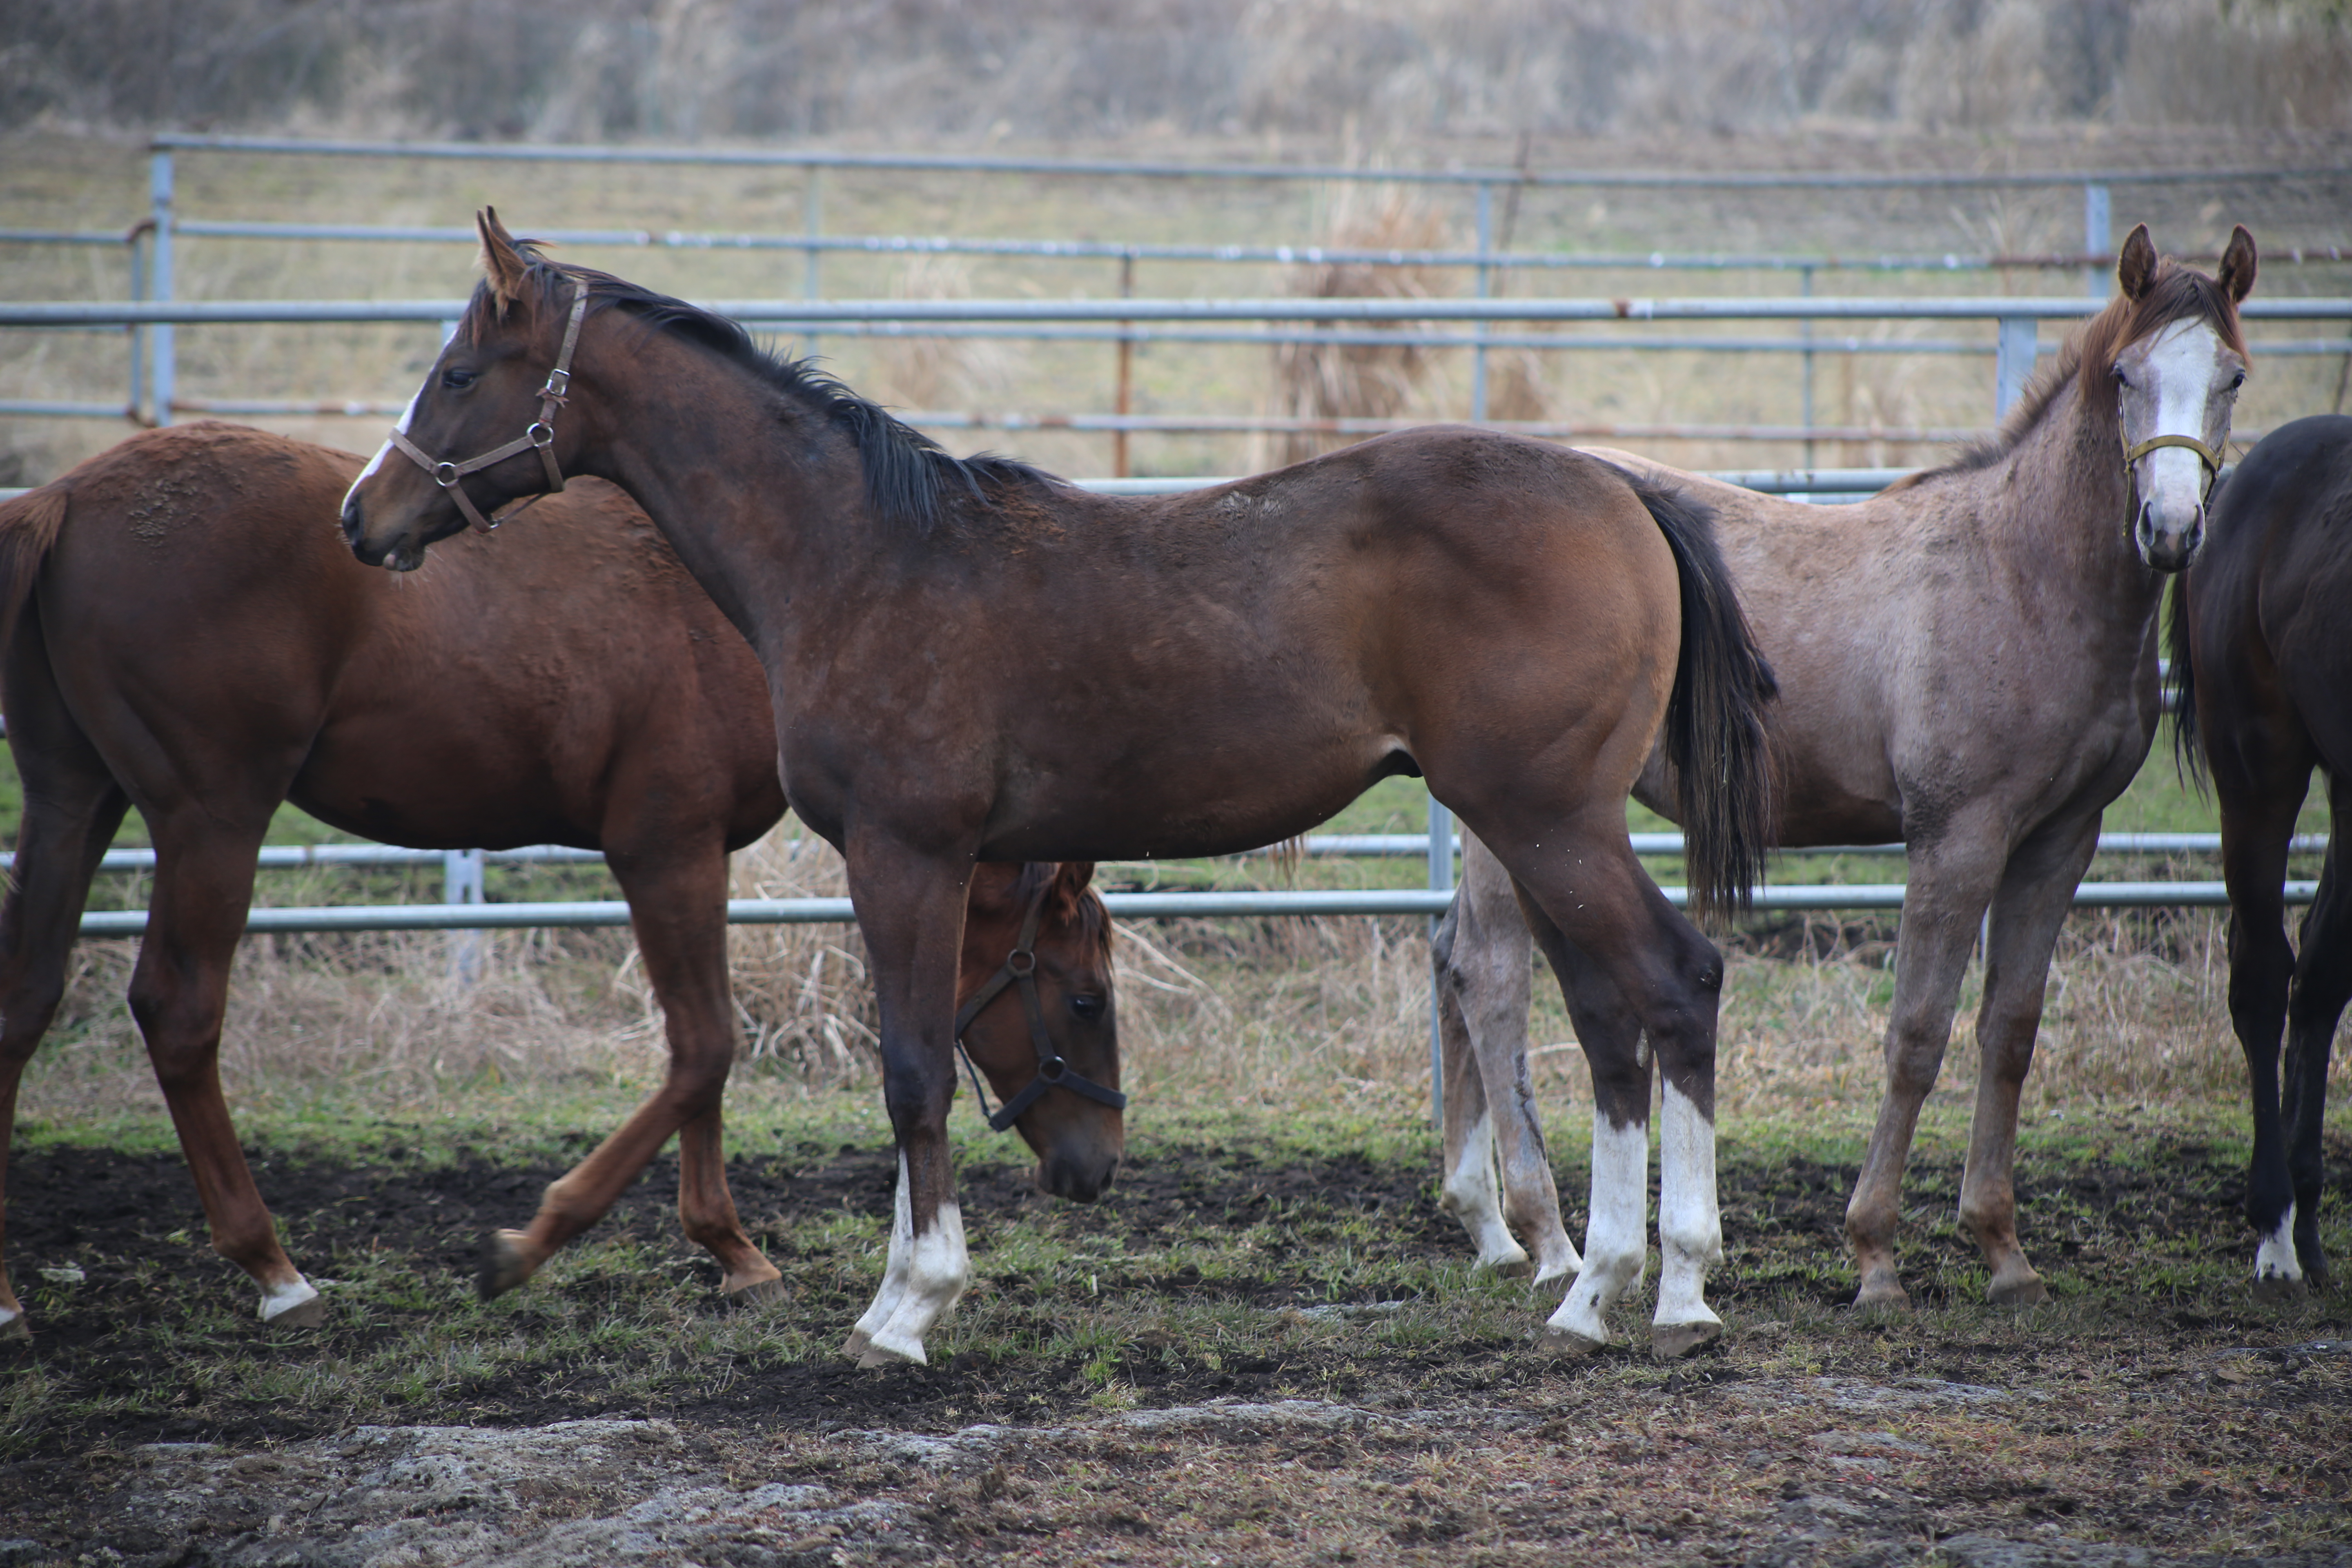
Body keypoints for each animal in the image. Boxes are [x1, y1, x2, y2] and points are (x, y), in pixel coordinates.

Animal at [0, 423, 1119, 1345]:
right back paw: (274, 1269)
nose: (1098, 1164)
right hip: (213, 819)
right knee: (179, 1010)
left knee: (28, 996)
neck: (765, 602)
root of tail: (65, 499)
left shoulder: (693, 852)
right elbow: (705, 1047)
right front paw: (554, 1242)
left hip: (73, 801)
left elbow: (700, 1052)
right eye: (1085, 999)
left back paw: (13, 1298)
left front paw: (729, 1253)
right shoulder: (664, 846)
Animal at [327, 208, 1768, 1363]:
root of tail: (1624, 492)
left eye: (459, 373)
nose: (364, 516)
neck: (857, 556)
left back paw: (1675, 1289)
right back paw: (1592, 1293)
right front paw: (894, 1291)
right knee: (1607, 1016)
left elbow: (911, 1067)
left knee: (1676, 980)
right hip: (1538, 828)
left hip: (1548, 820)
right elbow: (914, 1057)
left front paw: (910, 1307)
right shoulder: (928, 862)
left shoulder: (902, 852)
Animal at [1430, 227, 2258, 1316]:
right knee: (1490, 978)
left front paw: (2002, 1250)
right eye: (2124, 376)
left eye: (2233, 378)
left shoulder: (2059, 838)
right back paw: (1550, 1240)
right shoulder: (1956, 834)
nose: (2168, 529)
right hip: (1516, 815)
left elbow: (2010, 1030)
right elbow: (1916, 1032)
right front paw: (1874, 1257)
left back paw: (1487, 1225)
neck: (2022, 574)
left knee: (1452, 960)